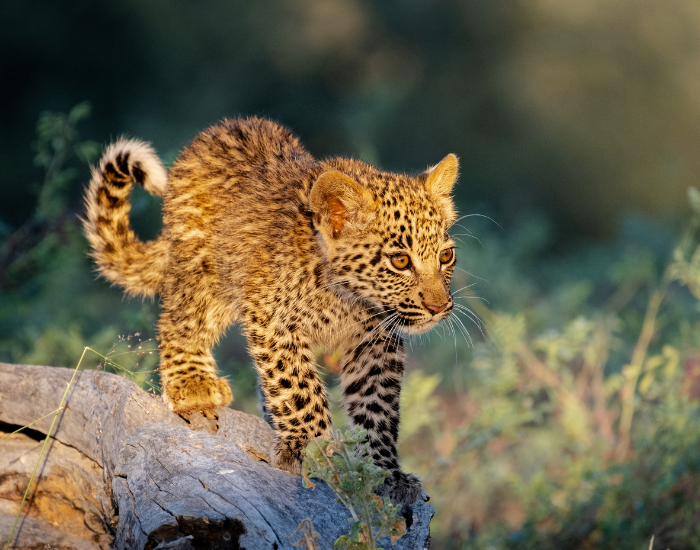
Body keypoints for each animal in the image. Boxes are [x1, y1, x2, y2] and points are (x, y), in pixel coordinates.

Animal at [83, 116, 459, 505]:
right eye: (400, 260)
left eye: (446, 256)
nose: (439, 307)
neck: (347, 298)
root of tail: (216, 131)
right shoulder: (274, 321)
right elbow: (299, 387)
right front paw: (316, 452)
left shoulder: (374, 341)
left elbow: (377, 406)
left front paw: (383, 473)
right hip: (202, 272)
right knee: (181, 319)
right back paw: (193, 383)